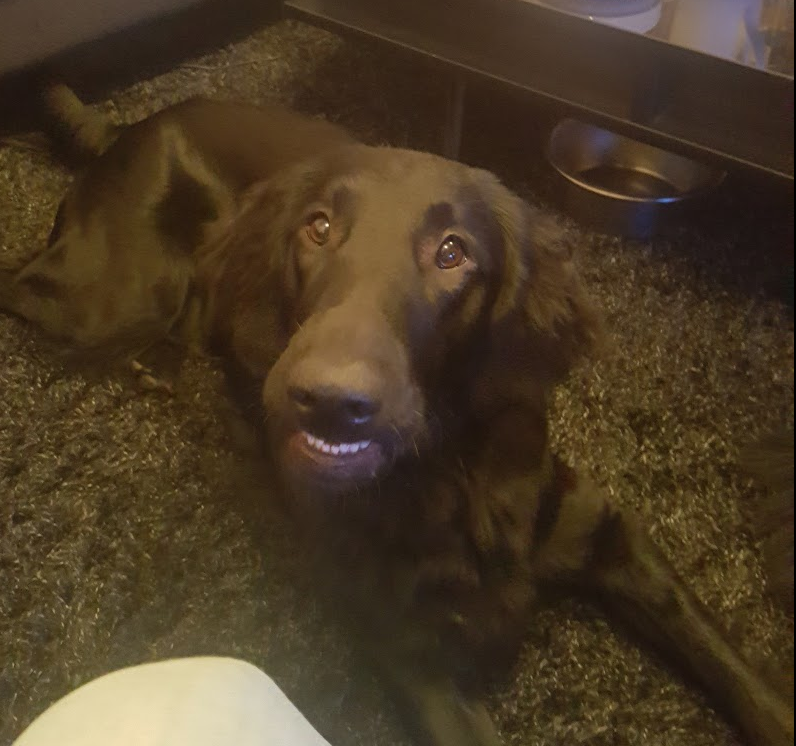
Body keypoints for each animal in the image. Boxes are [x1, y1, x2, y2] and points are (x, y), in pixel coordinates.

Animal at [0, 86, 792, 746]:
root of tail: (129, 126)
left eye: (452, 253)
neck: (451, 477)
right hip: (120, 290)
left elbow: (746, 680)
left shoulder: (613, 538)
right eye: (317, 229)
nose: (326, 399)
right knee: (25, 282)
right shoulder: (411, 651)